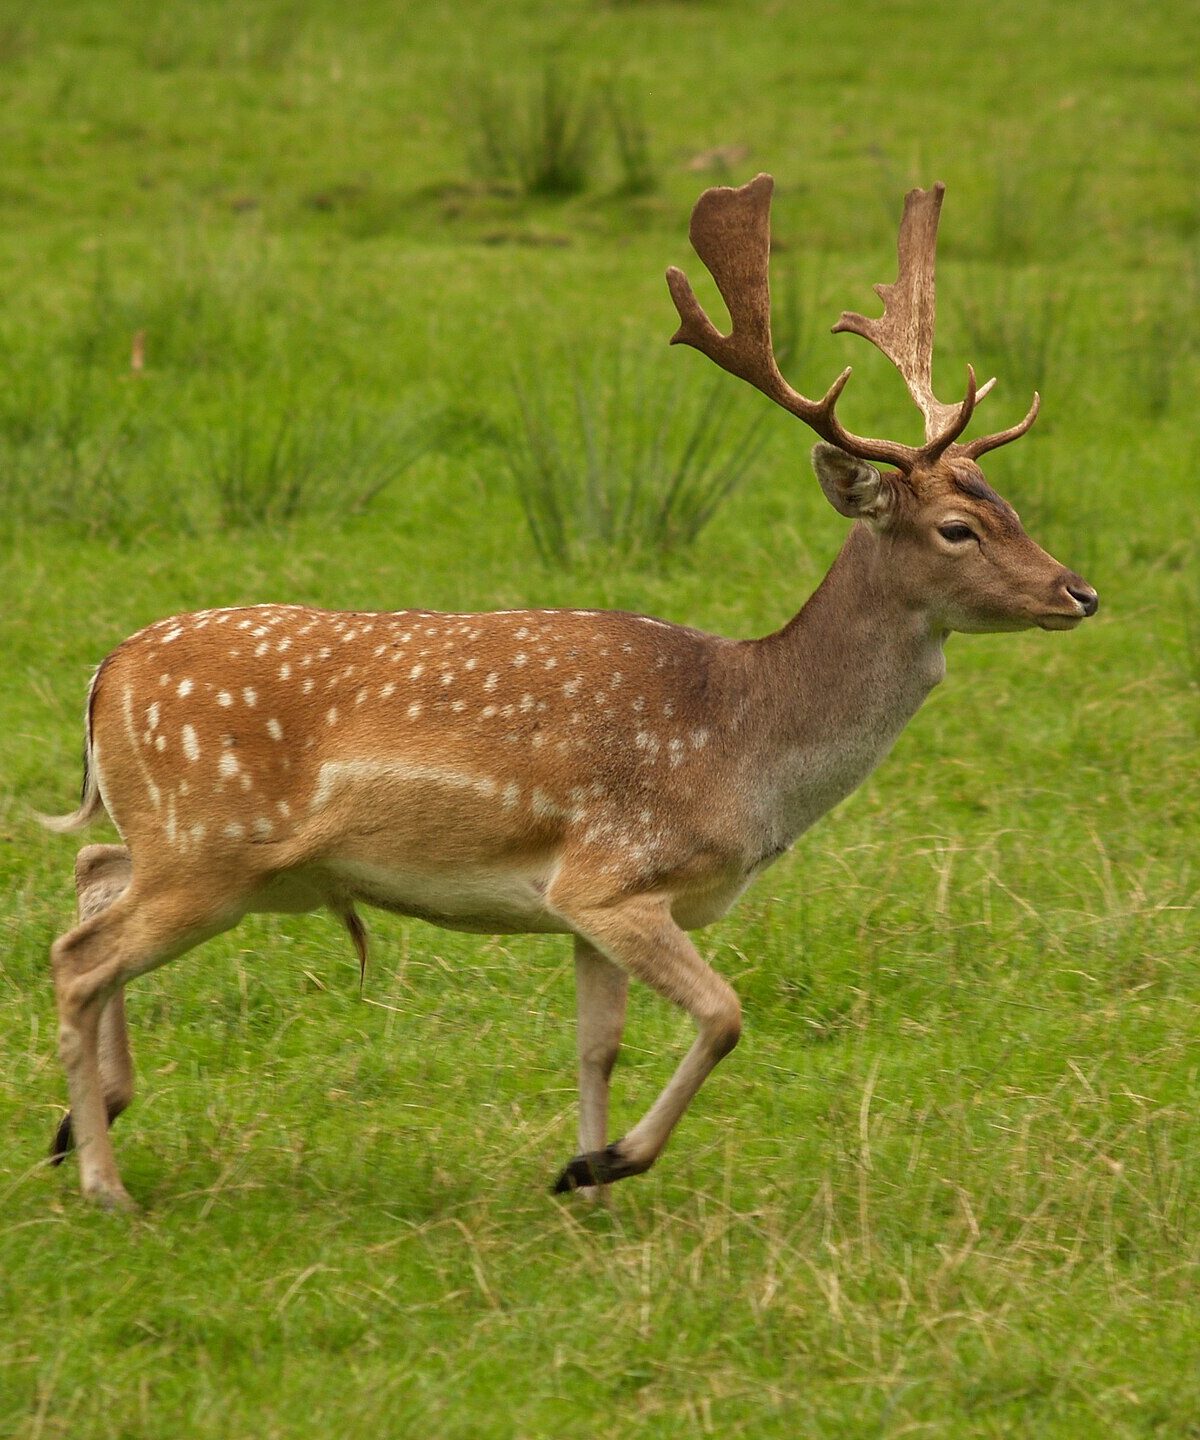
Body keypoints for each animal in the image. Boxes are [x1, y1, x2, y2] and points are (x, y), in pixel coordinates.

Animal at [42, 174, 1098, 1212]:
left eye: (1013, 507)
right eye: (959, 527)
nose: (1079, 592)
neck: (744, 747)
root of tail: (103, 672)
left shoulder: (588, 907)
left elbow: (599, 1045)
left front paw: (584, 1185)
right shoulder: (613, 874)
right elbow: (724, 1015)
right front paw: (607, 1163)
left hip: (201, 851)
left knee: (93, 872)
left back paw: (77, 1124)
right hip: (208, 848)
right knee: (79, 958)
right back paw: (103, 1182)